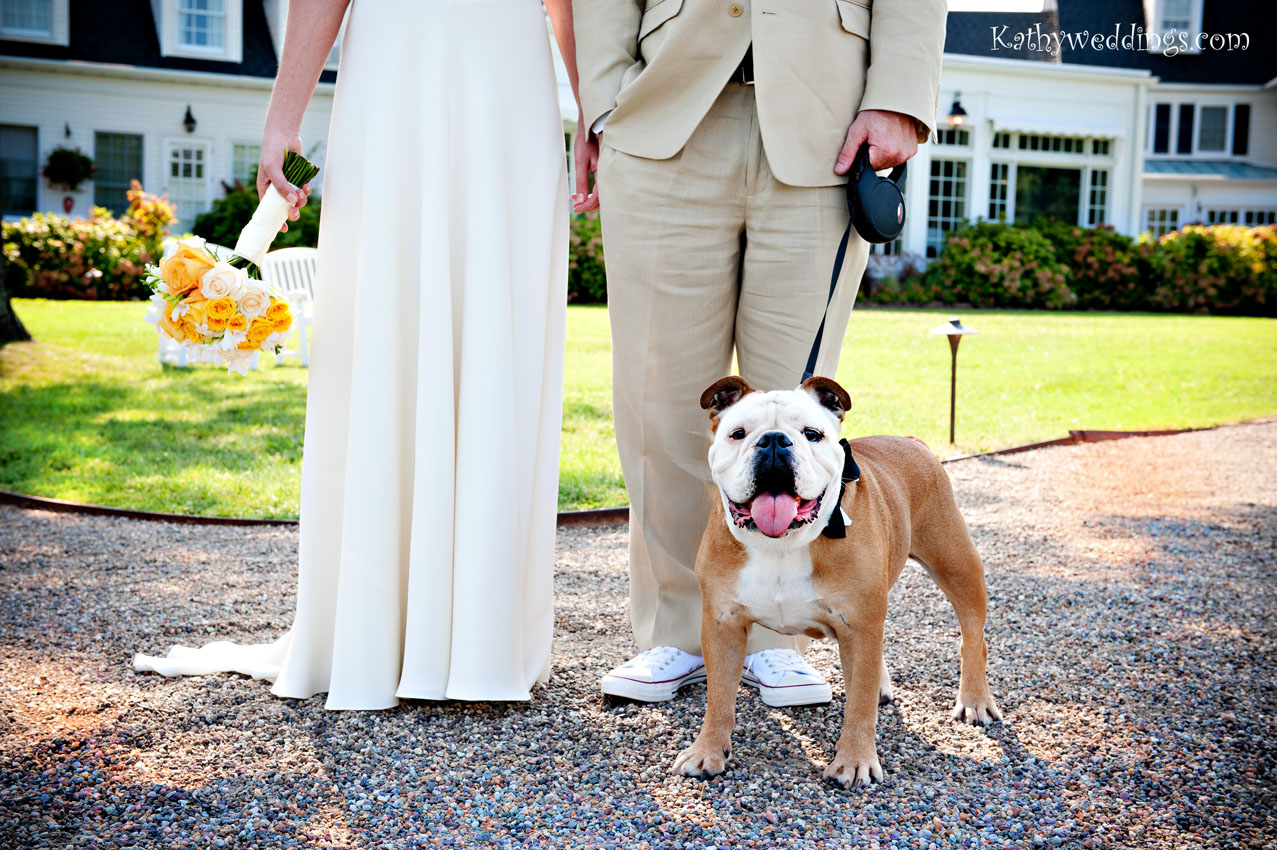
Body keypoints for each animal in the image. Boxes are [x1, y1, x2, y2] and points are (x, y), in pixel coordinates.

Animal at [672, 375, 1002, 787]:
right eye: (738, 434)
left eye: (812, 434)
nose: (774, 441)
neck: (782, 543)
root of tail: (913, 440)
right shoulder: (722, 626)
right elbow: (718, 698)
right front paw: (707, 752)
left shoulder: (859, 627)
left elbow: (858, 705)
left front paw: (855, 761)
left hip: (957, 566)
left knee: (973, 638)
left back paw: (975, 701)